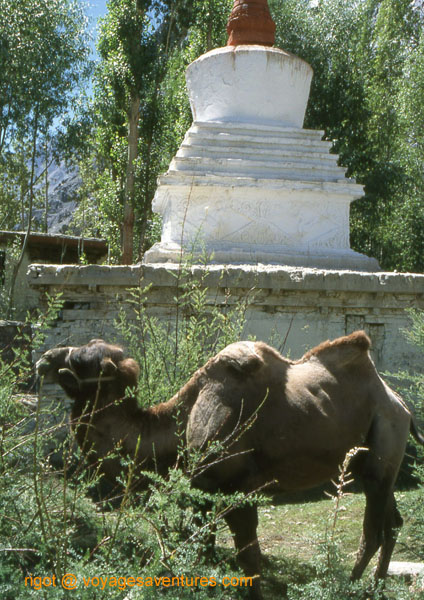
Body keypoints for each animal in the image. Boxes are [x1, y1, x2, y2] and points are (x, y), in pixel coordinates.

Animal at [37, 332, 424, 600]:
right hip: (372, 459)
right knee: (391, 522)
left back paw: (349, 584)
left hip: (383, 443)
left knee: (373, 530)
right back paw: (375, 586)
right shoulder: (202, 493)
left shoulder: (238, 490)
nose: (44, 358)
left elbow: (248, 557)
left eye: (81, 359)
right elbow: (203, 550)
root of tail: (398, 402)